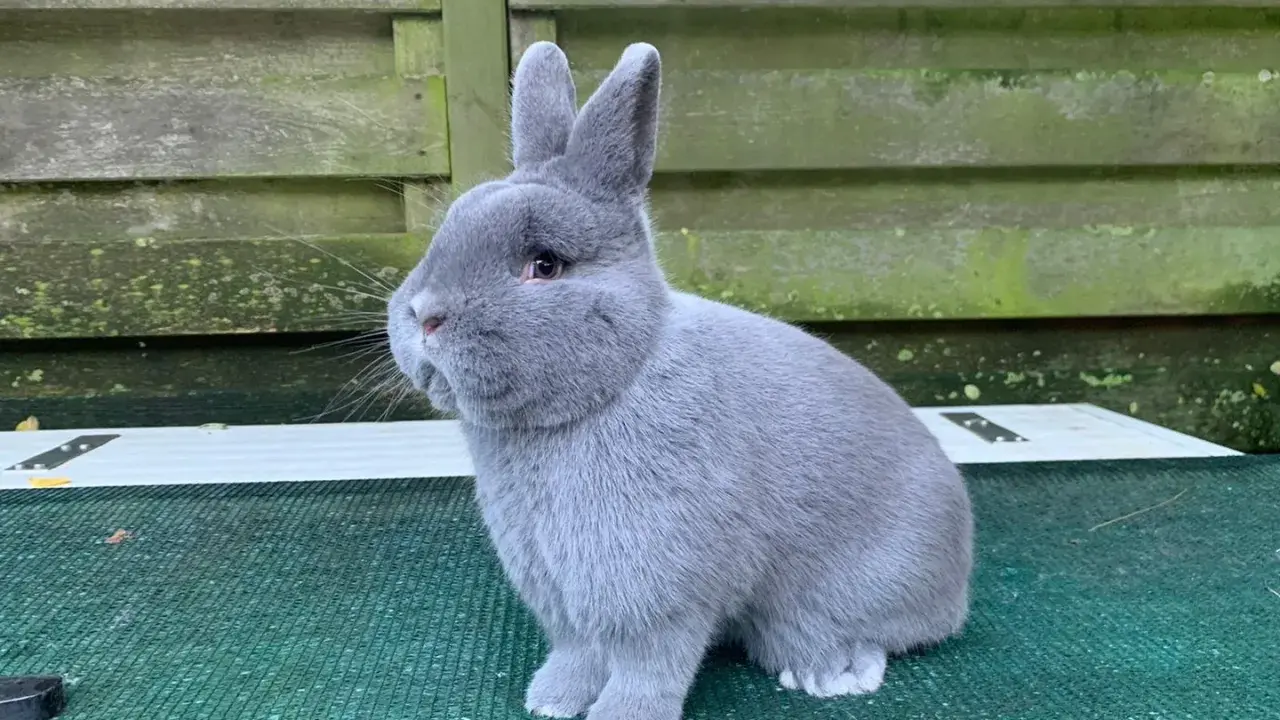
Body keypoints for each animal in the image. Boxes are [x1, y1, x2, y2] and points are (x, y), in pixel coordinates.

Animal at [386, 41, 974, 720]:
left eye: (545, 265)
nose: (424, 314)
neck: (615, 382)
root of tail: (959, 580)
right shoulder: (560, 590)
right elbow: (578, 650)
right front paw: (552, 701)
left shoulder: (658, 591)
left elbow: (649, 664)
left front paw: (618, 715)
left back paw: (830, 672)